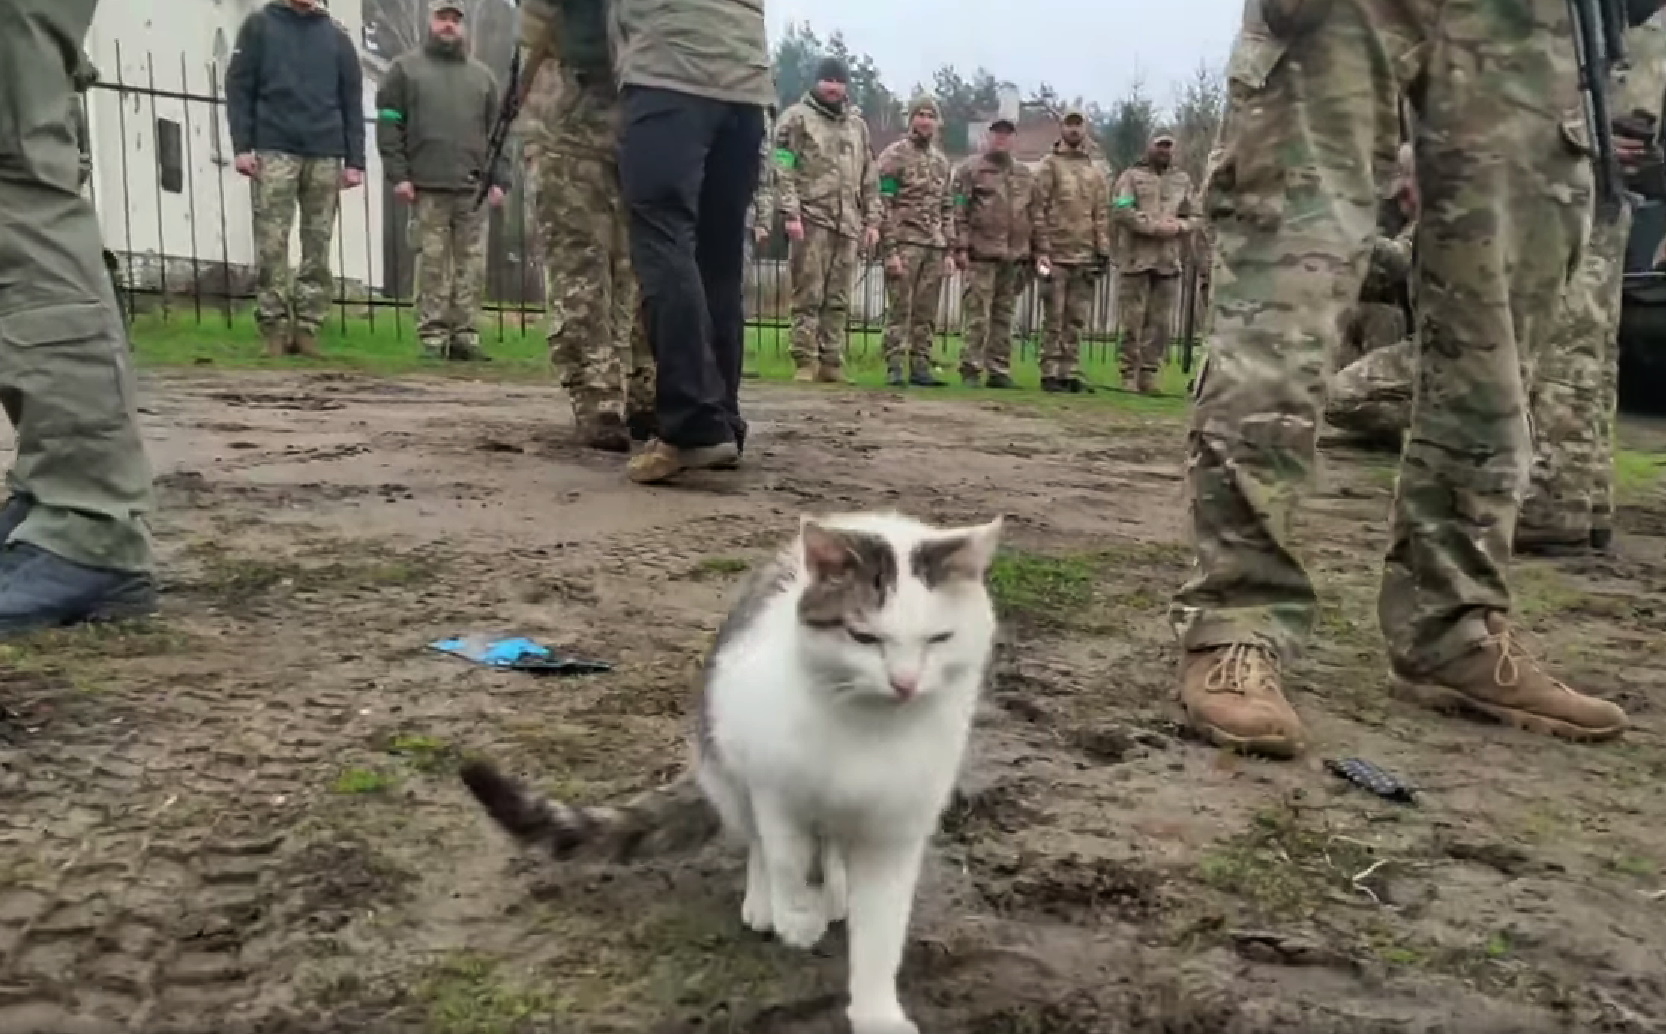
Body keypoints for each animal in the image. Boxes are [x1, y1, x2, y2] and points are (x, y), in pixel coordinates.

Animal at [459, 510, 1004, 1034]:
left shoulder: (897, 827)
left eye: (939, 639)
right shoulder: (773, 784)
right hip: (726, 756)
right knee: (760, 840)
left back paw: (833, 889)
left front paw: (876, 1013)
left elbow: (882, 933)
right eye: (864, 637)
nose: (905, 683)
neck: (871, 729)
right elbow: (784, 856)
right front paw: (795, 915)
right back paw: (769, 902)